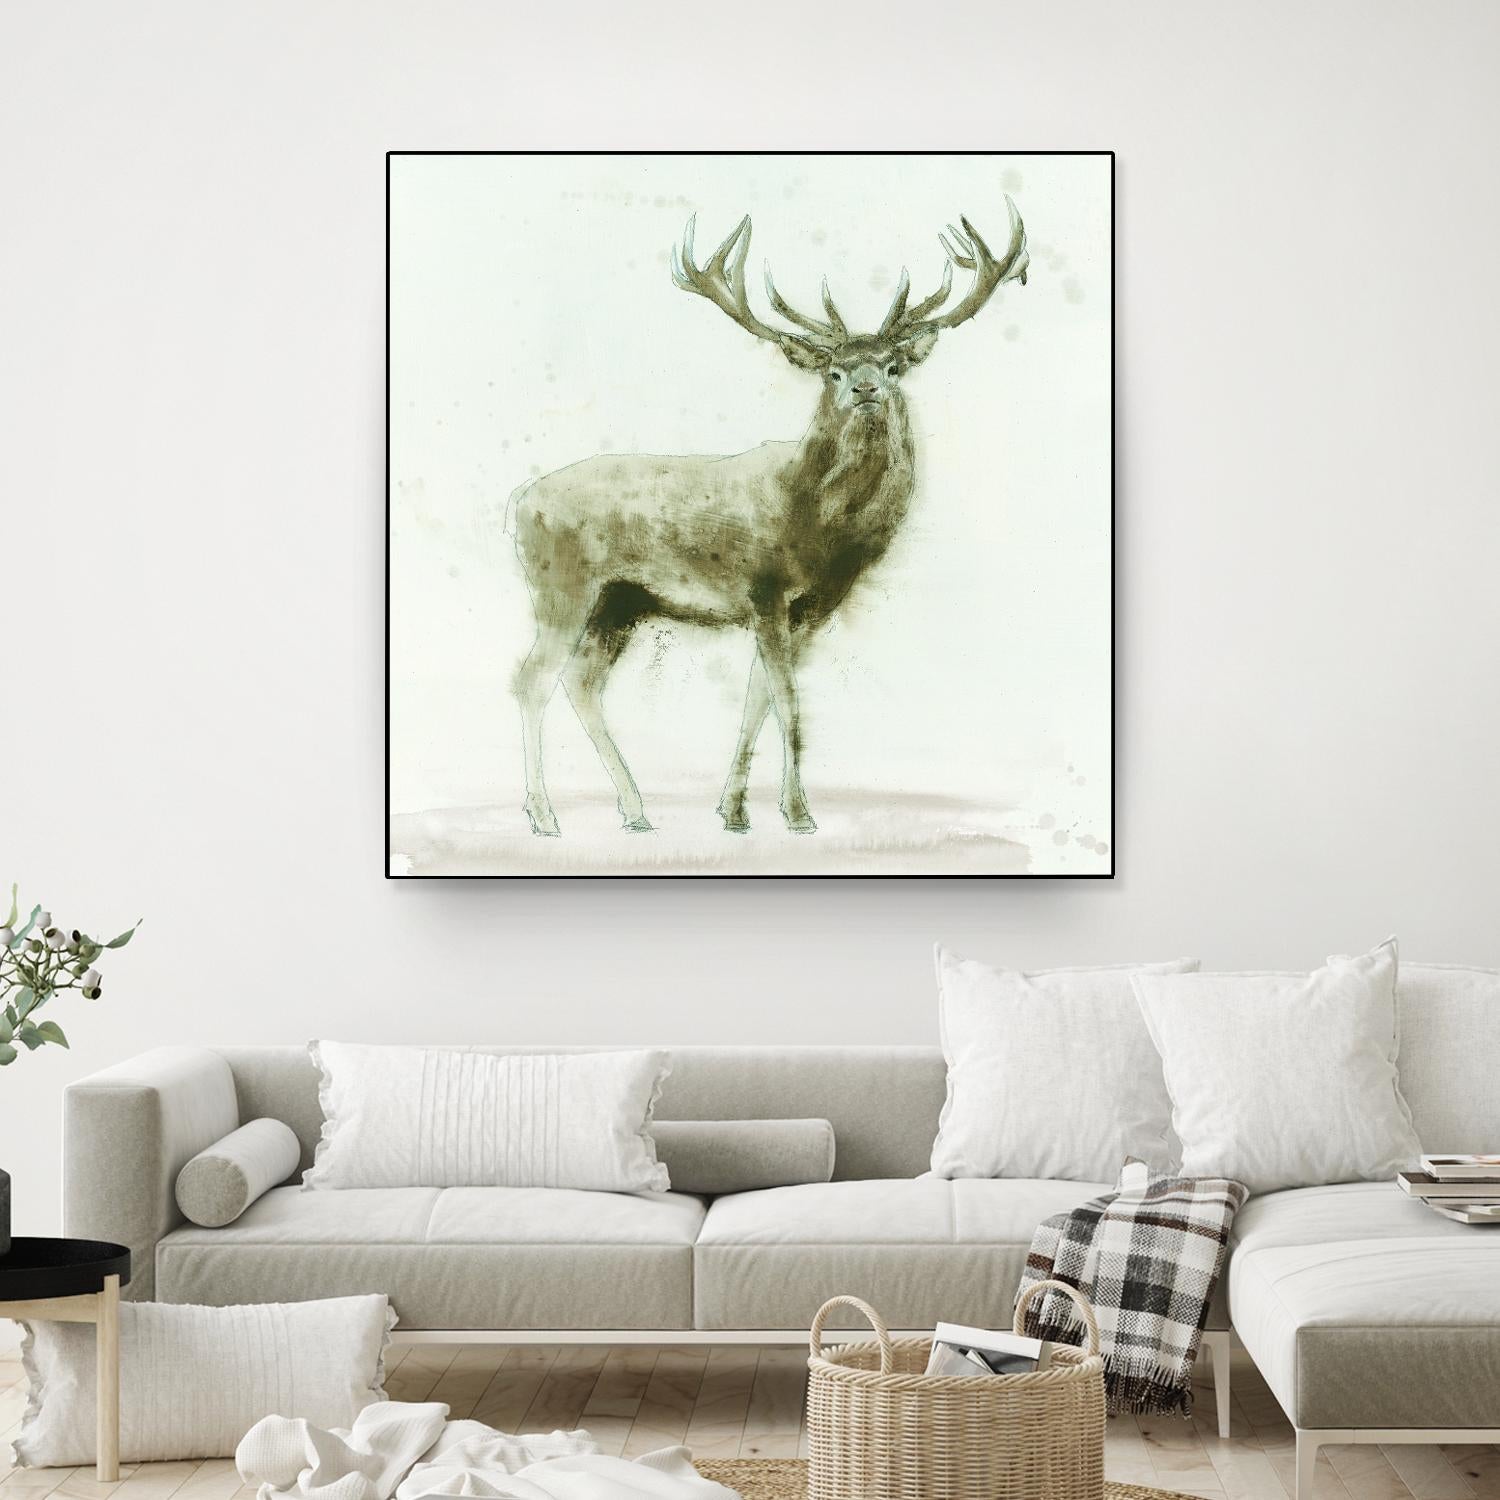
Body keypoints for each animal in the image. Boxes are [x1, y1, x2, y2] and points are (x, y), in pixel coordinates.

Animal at [509, 197, 1028, 838]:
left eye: (892, 367)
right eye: (833, 371)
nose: (864, 389)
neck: (816, 525)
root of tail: (517, 504)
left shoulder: (809, 608)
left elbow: (758, 696)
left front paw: (733, 810)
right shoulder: (764, 589)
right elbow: (789, 701)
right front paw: (800, 814)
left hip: (621, 603)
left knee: (581, 683)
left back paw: (635, 810)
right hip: (562, 585)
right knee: (532, 680)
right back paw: (544, 816)